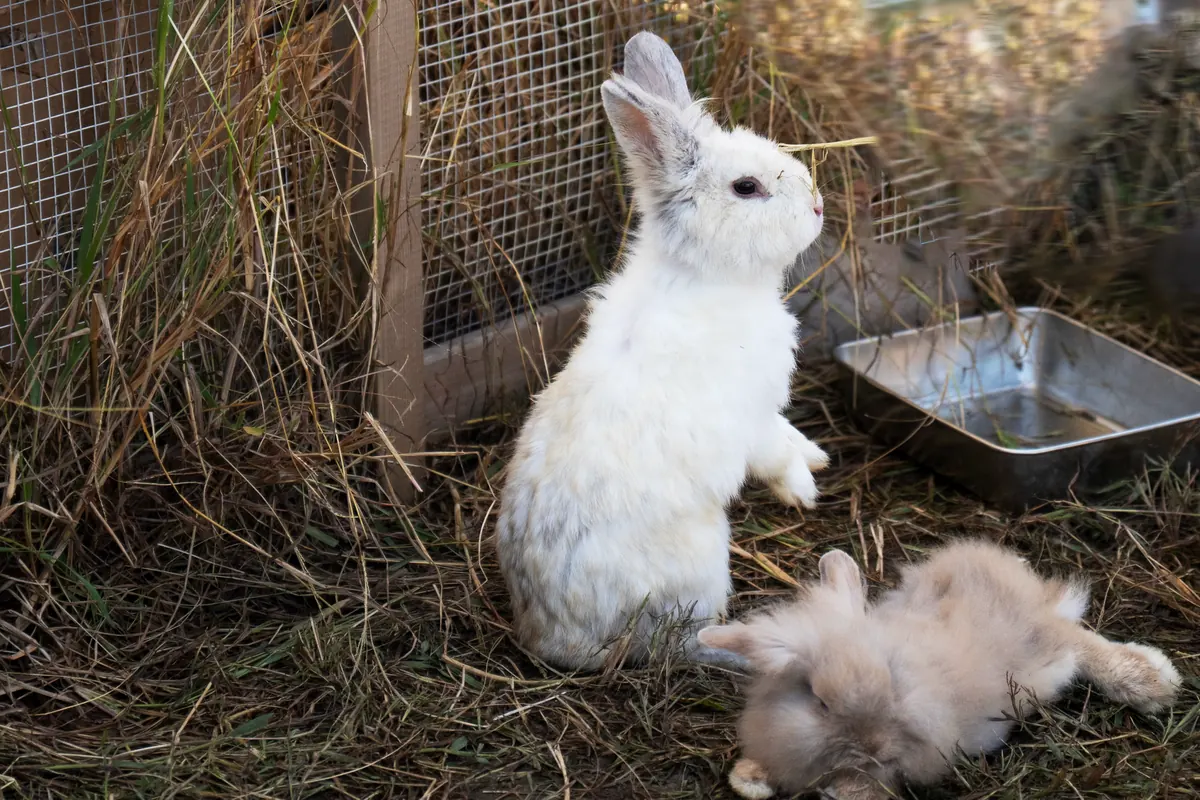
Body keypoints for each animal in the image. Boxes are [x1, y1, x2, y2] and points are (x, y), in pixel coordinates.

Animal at [495, 31, 828, 672]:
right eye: (747, 187)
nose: (820, 207)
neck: (703, 276)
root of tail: (555, 641)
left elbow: (789, 434)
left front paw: (818, 456)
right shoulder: (749, 418)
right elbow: (774, 453)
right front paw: (805, 492)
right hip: (702, 563)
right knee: (677, 643)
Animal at [698, 540, 1183, 800]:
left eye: (891, 680)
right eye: (820, 703)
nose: (874, 746)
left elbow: (879, 781)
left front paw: (842, 788)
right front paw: (750, 778)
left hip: (1043, 645)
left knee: (1083, 645)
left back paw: (1154, 681)